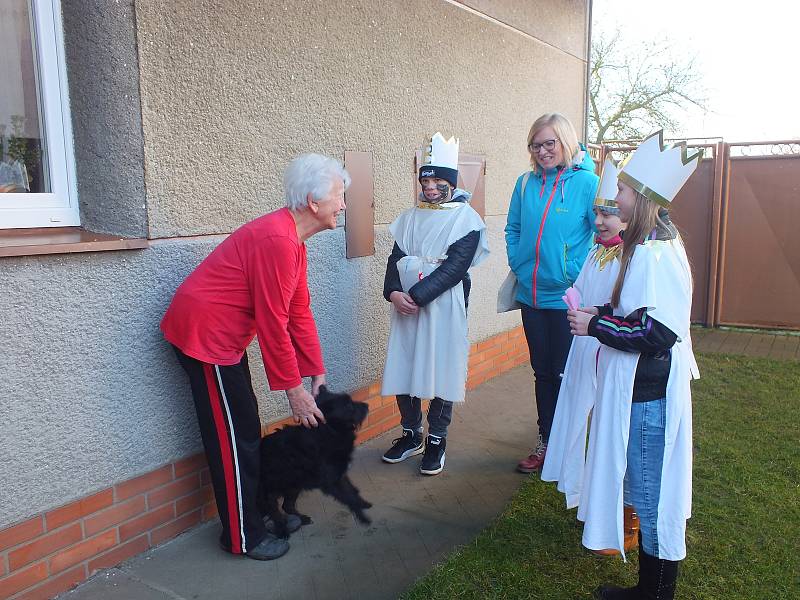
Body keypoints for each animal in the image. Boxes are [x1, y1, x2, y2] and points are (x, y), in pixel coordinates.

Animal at [258, 386, 374, 536]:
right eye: (348, 405)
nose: (367, 405)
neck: (327, 431)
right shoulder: (332, 482)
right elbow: (349, 497)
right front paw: (362, 517)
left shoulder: (339, 474)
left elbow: (353, 491)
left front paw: (362, 503)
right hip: (273, 489)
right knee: (273, 509)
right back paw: (282, 530)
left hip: (293, 484)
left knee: (287, 506)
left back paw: (302, 519)